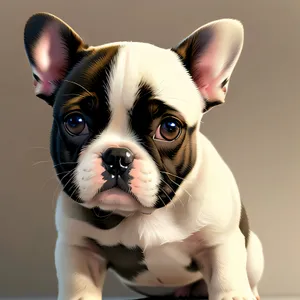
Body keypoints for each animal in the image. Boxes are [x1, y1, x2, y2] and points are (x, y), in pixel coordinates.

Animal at [24, 12, 264, 300]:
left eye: (169, 128)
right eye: (75, 122)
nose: (117, 156)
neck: (143, 215)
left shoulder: (221, 243)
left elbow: (227, 282)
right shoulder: (78, 247)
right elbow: (80, 288)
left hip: (254, 255)